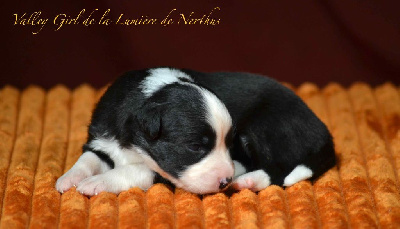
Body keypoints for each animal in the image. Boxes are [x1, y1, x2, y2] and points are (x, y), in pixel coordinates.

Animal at [56, 67, 336, 194]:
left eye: (229, 143)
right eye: (195, 147)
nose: (224, 181)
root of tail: (324, 132)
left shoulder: (162, 171)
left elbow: (135, 170)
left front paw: (97, 183)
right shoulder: (102, 138)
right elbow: (87, 159)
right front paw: (69, 178)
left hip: (266, 128)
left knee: (278, 170)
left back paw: (247, 179)